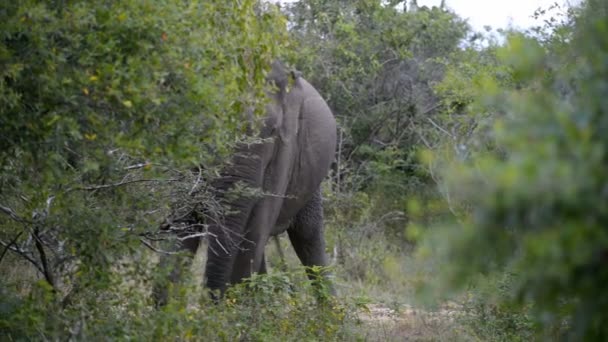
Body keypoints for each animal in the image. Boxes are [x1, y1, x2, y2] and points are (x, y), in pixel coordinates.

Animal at [154, 61, 338, 304]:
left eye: (272, 130)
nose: (211, 302)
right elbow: (183, 218)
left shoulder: (286, 150)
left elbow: (257, 225)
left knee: (307, 235)